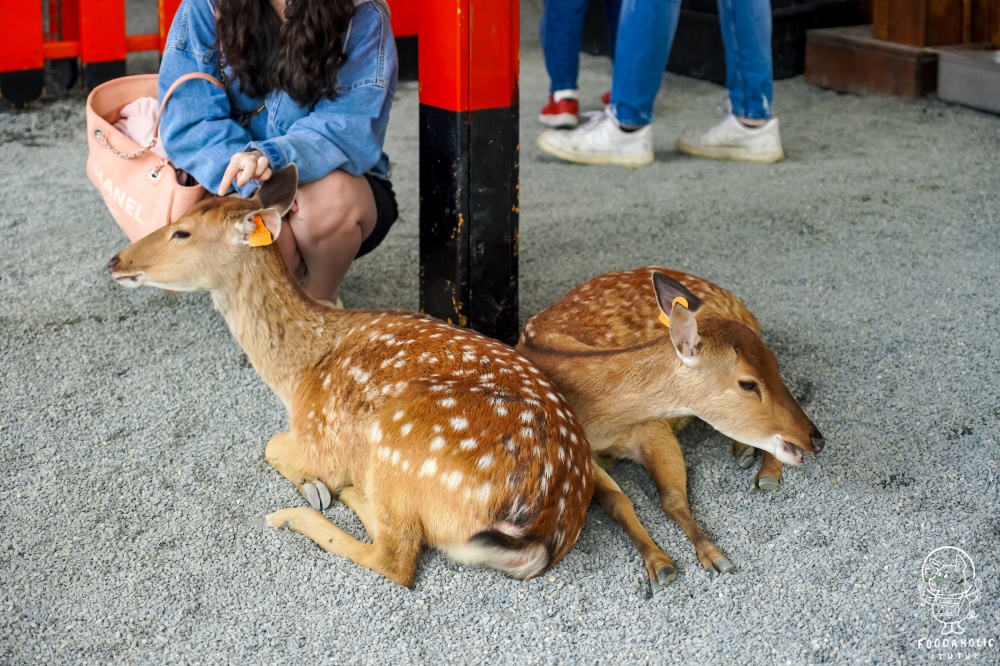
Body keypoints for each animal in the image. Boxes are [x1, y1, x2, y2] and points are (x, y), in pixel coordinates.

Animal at [107, 166, 592, 588]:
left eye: (181, 232)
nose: (114, 260)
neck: (298, 376)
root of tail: (539, 527)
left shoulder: (317, 435)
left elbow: (271, 445)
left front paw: (313, 484)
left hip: (399, 447)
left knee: (396, 558)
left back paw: (313, 506)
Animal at [516, 266, 820, 588]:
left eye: (775, 365)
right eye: (748, 383)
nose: (817, 439)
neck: (602, 423)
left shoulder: (655, 427)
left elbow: (672, 498)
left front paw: (714, 557)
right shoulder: (581, 451)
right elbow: (617, 502)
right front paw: (660, 565)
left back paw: (763, 472)